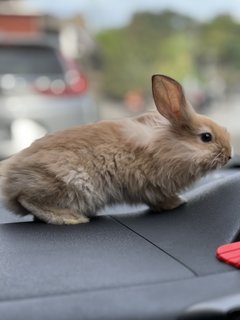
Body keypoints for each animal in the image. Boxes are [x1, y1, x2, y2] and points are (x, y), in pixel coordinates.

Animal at [0, 75, 232, 225]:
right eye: (206, 137)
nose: (230, 155)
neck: (172, 145)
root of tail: (9, 176)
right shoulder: (153, 186)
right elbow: (160, 199)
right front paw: (177, 203)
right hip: (67, 184)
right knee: (28, 200)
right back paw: (72, 218)